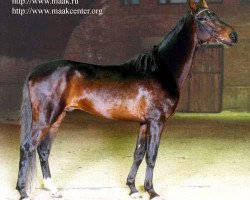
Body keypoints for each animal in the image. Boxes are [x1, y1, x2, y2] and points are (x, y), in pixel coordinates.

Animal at [16, 0, 237, 199]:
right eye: (204, 18)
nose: (233, 36)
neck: (161, 70)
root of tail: (36, 71)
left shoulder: (144, 123)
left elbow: (138, 154)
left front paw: (132, 188)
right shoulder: (157, 122)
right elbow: (151, 156)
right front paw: (151, 191)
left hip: (58, 117)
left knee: (43, 150)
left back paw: (53, 189)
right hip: (45, 119)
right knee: (28, 147)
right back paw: (23, 192)